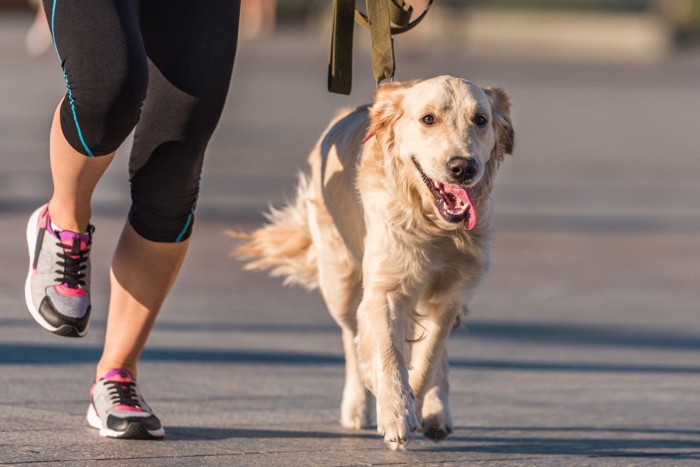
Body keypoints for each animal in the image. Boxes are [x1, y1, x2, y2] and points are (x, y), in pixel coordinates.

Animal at [234, 76, 516, 450]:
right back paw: (357, 406)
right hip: (340, 284)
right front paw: (395, 411)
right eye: (428, 119)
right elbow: (386, 351)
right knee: (351, 338)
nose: (463, 167)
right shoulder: (384, 289)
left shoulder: (451, 295)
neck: (434, 226)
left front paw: (416, 403)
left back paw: (437, 412)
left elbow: (428, 358)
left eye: (480, 120)